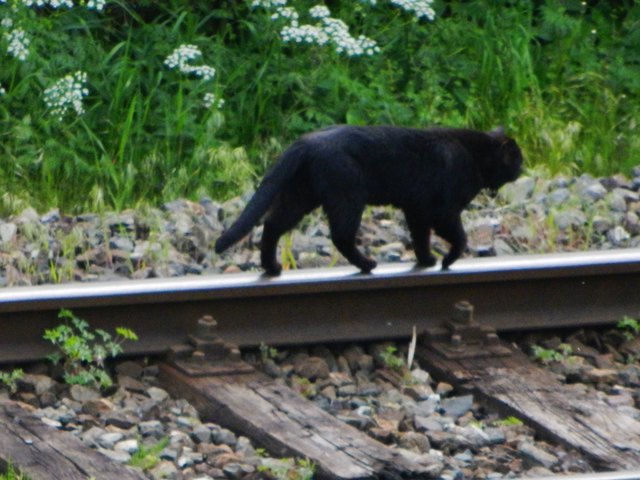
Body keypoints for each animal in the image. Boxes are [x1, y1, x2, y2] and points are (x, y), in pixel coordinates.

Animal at [216, 125, 524, 276]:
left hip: (300, 196)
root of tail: (304, 142)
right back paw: (367, 264)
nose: (522, 168)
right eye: (517, 158)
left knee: (271, 225)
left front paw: (426, 260)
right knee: (340, 236)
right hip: (348, 197)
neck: (474, 155)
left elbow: (420, 237)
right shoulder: (443, 210)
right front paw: (447, 260)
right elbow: (459, 237)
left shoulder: (417, 209)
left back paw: (272, 268)